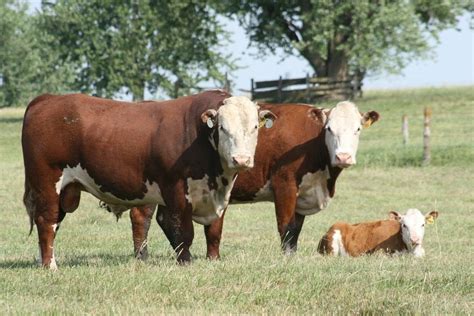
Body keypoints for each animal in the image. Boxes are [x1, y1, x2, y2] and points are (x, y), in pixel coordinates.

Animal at [22, 89, 276, 270]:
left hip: (64, 190)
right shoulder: (176, 191)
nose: (241, 159)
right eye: (223, 128)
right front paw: (186, 263)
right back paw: (50, 266)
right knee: (46, 221)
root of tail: (48, 99)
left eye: (255, 127)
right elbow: (182, 231)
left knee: (54, 223)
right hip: (47, 182)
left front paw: (213, 260)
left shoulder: (218, 195)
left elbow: (214, 231)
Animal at [129, 100, 378, 260]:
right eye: (329, 129)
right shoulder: (285, 184)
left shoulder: (304, 193)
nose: (343, 156)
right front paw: (287, 258)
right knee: (142, 217)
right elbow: (286, 225)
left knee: (164, 219)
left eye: (357, 129)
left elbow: (296, 228)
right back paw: (142, 256)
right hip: (151, 188)